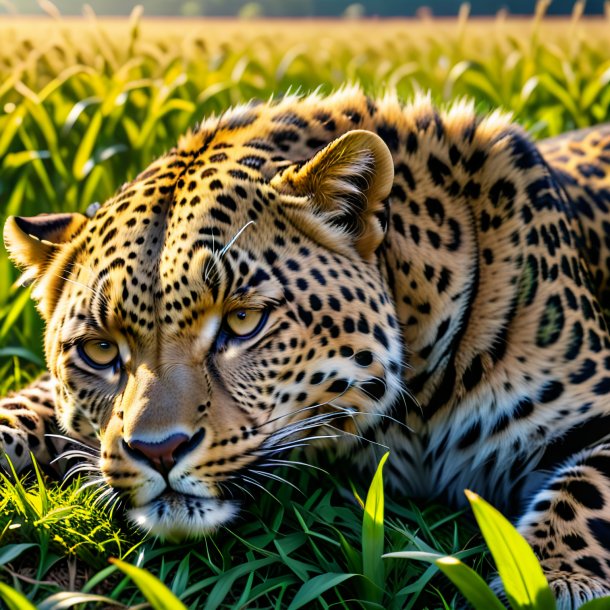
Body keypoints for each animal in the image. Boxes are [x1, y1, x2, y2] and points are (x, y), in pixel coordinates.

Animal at [3, 86, 608, 608]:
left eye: (243, 320)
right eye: (101, 351)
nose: (159, 452)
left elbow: (588, 492)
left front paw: (550, 582)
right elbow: (19, 407)